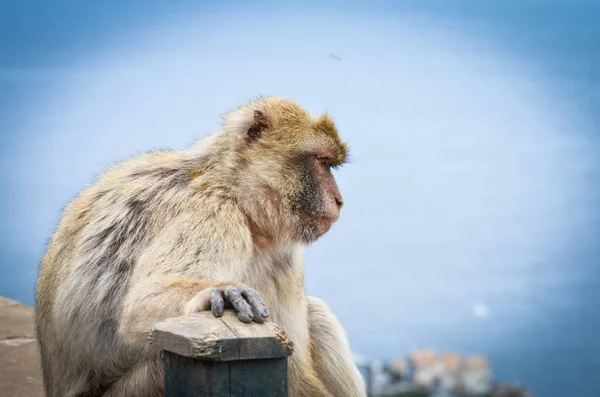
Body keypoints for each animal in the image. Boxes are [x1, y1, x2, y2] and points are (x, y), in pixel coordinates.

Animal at [36, 96, 366, 396]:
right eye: (322, 162)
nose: (339, 200)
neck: (231, 189)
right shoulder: (211, 211)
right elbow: (144, 300)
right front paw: (220, 293)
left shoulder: (283, 253)